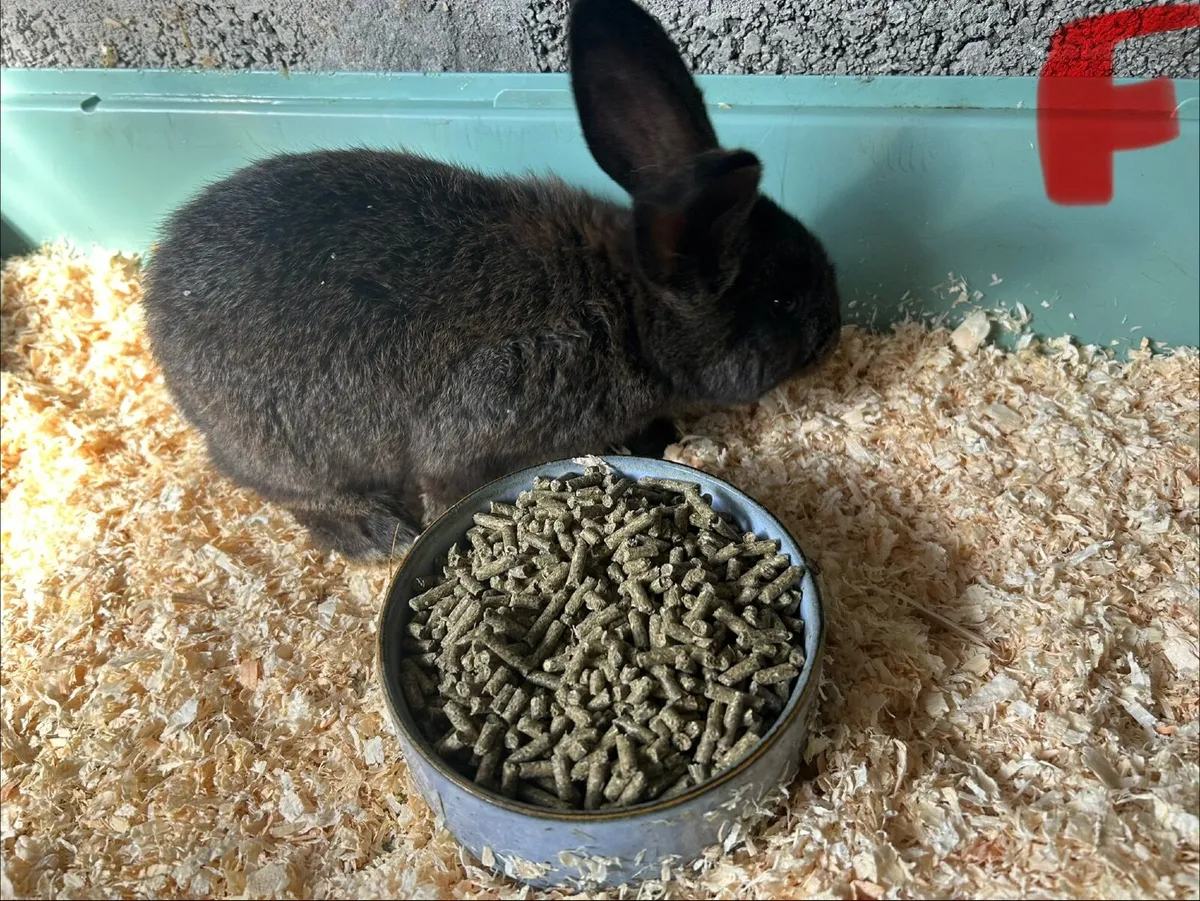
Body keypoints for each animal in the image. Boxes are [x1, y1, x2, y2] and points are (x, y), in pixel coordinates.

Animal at [141, 0, 842, 562]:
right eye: (781, 299)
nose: (834, 332)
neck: (631, 309)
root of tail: (156, 309)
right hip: (290, 453)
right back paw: (375, 533)